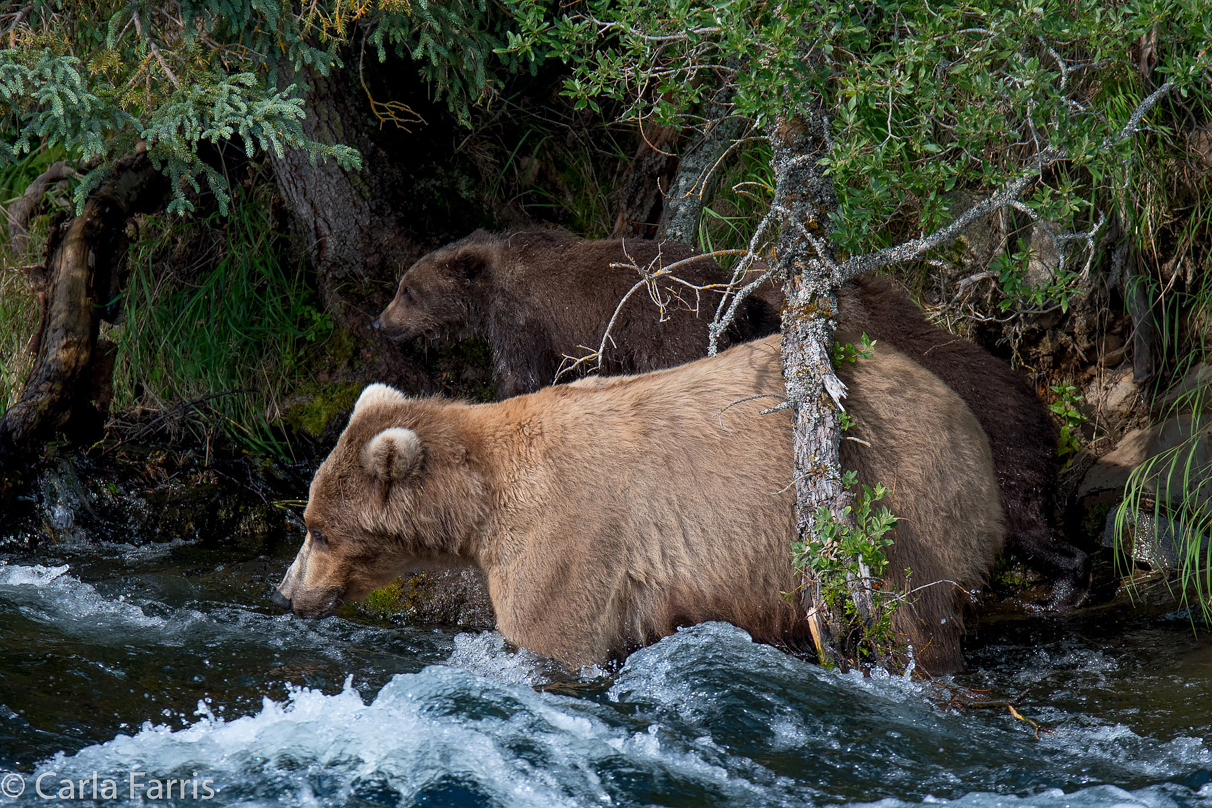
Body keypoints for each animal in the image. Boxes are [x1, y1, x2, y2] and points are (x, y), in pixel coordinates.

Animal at [275, 334, 1003, 678]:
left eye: (316, 530)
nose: (285, 592)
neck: (484, 503)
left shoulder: (564, 540)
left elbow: (551, 633)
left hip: (902, 502)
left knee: (916, 615)